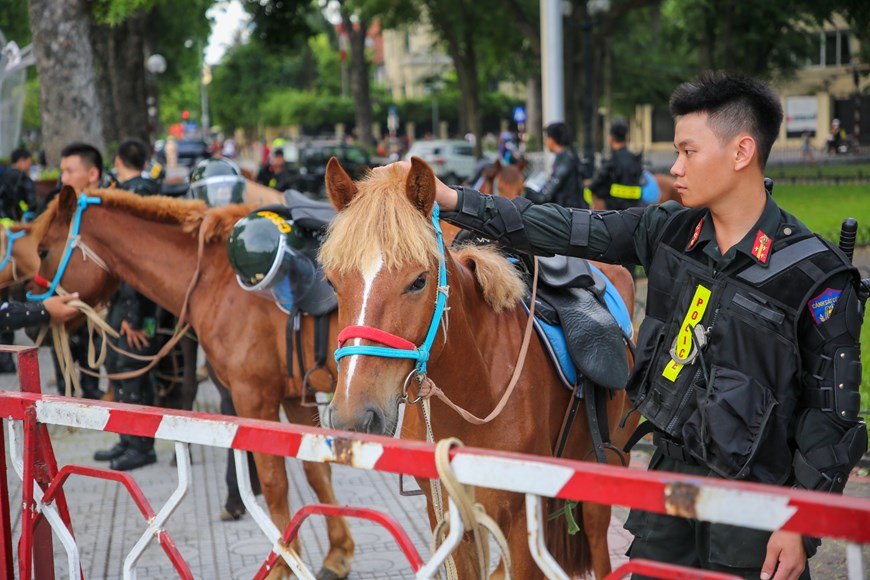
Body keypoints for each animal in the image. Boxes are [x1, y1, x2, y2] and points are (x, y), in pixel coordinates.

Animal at [32, 187, 354, 580]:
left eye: (43, 251)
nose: (36, 319)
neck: (218, 279)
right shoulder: (296, 394)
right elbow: (316, 471)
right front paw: (337, 553)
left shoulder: (253, 396)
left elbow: (274, 482)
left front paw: (280, 564)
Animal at [316, 156, 636, 576]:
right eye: (333, 283)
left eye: (418, 281)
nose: (354, 415)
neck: (475, 389)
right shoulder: (450, 520)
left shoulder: (521, 527)